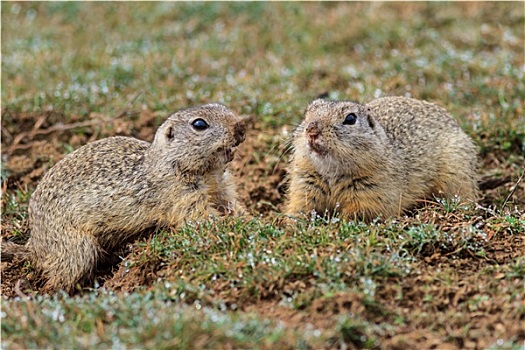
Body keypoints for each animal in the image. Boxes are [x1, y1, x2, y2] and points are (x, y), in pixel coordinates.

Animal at [2, 103, 246, 292]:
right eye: (199, 124)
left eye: (222, 106)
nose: (242, 127)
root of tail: (34, 245)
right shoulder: (181, 195)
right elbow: (199, 216)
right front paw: (228, 225)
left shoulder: (222, 187)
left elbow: (231, 203)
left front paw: (245, 217)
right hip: (75, 248)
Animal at [286, 97, 478, 220]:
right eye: (307, 113)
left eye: (350, 118)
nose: (312, 130)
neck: (332, 172)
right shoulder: (305, 184)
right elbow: (300, 207)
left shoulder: (374, 191)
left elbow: (361, 212)